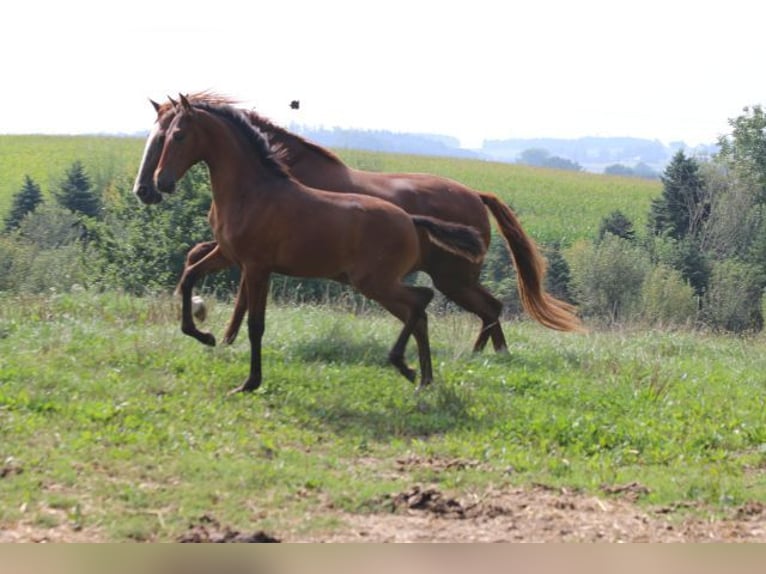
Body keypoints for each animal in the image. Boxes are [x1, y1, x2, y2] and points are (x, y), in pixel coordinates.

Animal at [135, 93, 584, 352]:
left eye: (172, 135)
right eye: (155, 134)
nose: (150, 188)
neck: (274, 172)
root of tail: (476, 195)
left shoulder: (255, 257)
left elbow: (239, 293)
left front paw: (221, 336)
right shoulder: (238, 251)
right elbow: (199, 262)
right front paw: (210, 324)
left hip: (452, 278)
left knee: (490, 307)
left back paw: (485, 357)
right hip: (452, 278)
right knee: (489, 308)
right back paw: (483, 356)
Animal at [152, 95, 484, 396]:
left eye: (178, 135)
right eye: (164, 136)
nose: (160, 183)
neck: (251, 193)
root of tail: (411, 220)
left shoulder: (257, 267)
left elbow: (256, 325)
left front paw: (249, 383)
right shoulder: (227, 254)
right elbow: (189, 275)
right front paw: (204, 335)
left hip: (375, 282)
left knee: (421, 300)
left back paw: (403, 364)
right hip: (379, 284)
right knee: (419, 313)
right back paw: (423, 379)